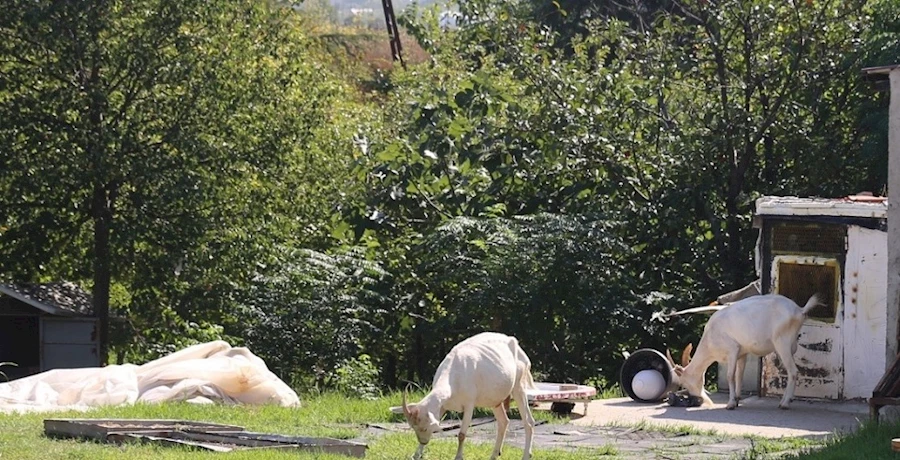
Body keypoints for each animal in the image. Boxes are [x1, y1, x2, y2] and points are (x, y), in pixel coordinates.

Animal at [401, 332, 536, 460]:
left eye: (424, 428)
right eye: (414, 428)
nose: (423, 441)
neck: (455, 375)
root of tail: (516, 344)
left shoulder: (469, 404)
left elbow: (461, 434)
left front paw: (458, 457)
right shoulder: (442, 406)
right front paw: (416, 455)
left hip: (519, 385)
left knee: (528, 421)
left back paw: (526, 455)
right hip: (495, 399)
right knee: (503, 421)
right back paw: (494, 455)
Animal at [666, 294, 820, 410]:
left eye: (685, 383)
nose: (699, 400)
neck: (710, 338)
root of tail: (799, 310)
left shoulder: (732, 350)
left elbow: (730, 376)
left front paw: (730, 404)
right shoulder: (742, 354)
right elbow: (739, 376)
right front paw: (737, 399)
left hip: (782, 343)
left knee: (793, 371)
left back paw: (785, 404)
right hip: (789, 346)